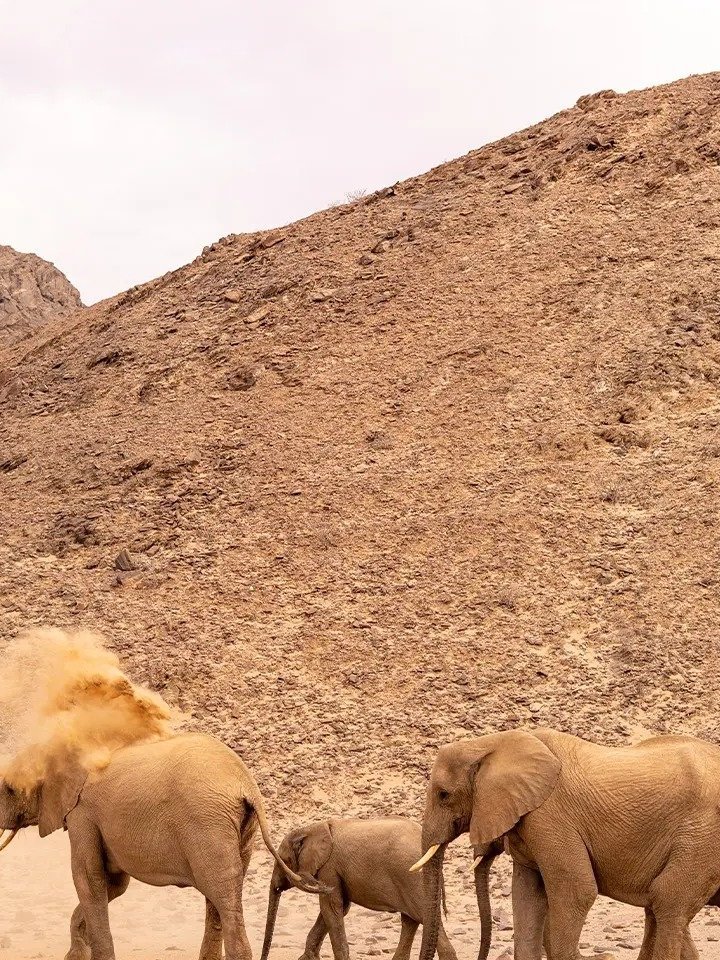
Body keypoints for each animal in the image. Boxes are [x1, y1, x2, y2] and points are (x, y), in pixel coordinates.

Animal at [0, 732, 324, 960]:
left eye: (10, 788)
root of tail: (246, 784)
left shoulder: (82, 812)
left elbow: (88, 879)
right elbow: (112, 885)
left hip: (206, 823)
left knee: (221, 894)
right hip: (236, 829)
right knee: (222, 894)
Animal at [260, 817, 458, 960]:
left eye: (283, 861)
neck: (311, 828)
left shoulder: (329, 867)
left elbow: (331, 908)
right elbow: (336, 909)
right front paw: (307, 958)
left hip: (412, 879)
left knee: (422, 919)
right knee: (410, 920)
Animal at [411, 728, 720, 960]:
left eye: (443, 795)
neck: (492, 742)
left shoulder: (550, 816)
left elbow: (576, 890)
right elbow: (527, 895)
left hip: (703, 835)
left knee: (667, 899)